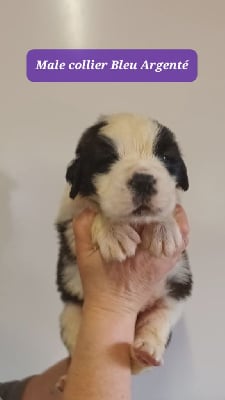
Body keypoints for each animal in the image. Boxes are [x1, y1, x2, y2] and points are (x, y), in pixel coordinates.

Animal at [55, 113, 192, 376]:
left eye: (165, 158)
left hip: (174, 299)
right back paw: (65, 378)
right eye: (107, 160)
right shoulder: (69, 216)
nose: (143, 180)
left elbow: (169, 205)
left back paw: (145, 352)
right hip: (69, 312)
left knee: (157, 324)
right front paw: (114, 231)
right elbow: (92, 209)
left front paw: (164, 228)